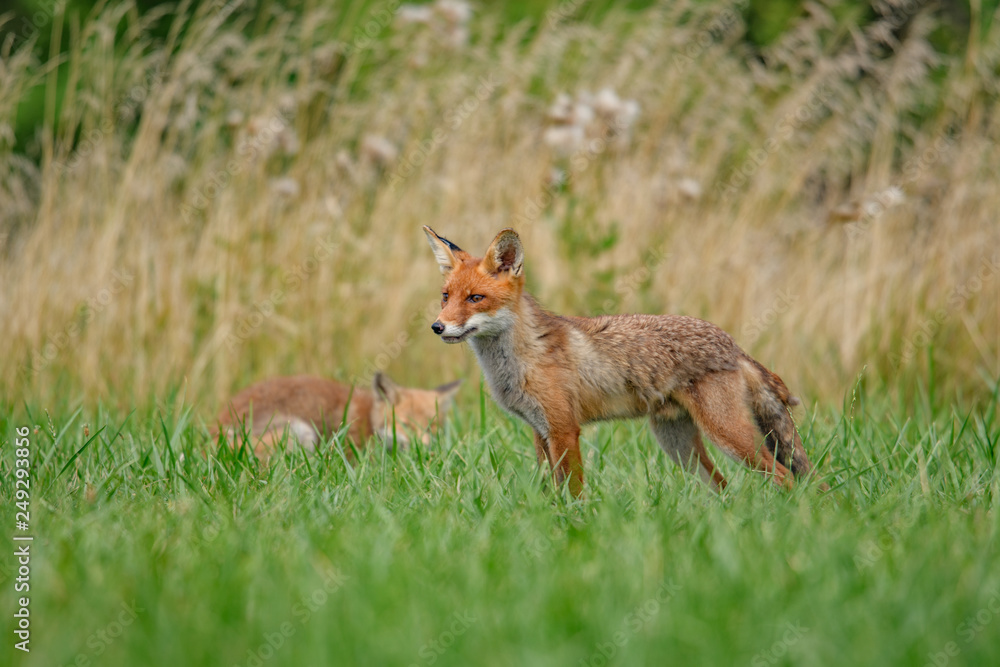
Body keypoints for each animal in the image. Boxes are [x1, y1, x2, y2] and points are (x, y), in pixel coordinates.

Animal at [423, 225, 823, 496]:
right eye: (445, 296)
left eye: (475, 298)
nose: (437, 327)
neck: (519, 360)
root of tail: (734, 345)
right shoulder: (539, 430)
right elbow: (550, 490)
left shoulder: (565, 430)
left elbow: (573, 492)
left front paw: (573, 528)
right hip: (678, 444)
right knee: (722, 487)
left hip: (729, 436)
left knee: (784, 477)